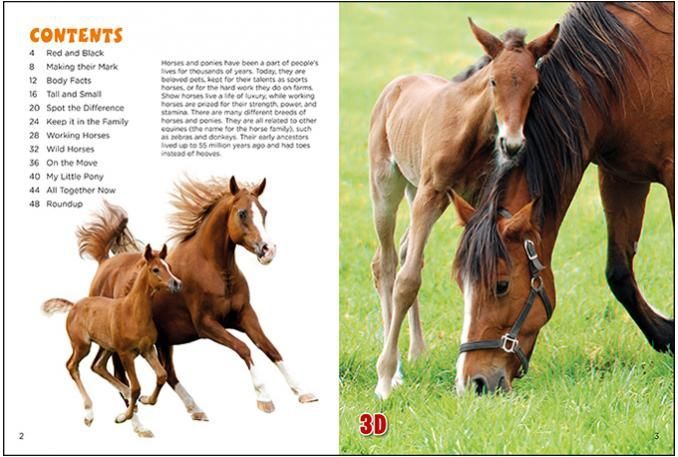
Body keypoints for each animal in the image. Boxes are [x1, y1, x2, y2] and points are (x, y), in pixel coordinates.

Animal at [42, 244, 182, 437]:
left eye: (168, 266)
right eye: (155, 269)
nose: (177, 283)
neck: (133, 312)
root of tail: (74, 306)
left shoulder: (147, 350)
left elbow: (161, 375)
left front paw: (146, 400)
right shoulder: (125, 354)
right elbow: (137, 386)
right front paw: (123, 417)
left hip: (107, 346)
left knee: (98, 366)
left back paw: (127, 396)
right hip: (83, 346)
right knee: (72, 366)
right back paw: (89, 413)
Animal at [72, 176, 317, 420]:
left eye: (264, 212)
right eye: (242, 213)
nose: (268, 250)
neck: (215, 270)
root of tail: (104, 263)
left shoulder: (245, 315)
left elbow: (269, 347)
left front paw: (303, 392)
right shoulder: (206, 324)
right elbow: (244, 348)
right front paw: (264, 398)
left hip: (164, 340)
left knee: (168, 374)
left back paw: (194, 409)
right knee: (119, 375)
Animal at [370, 18, 560, 399]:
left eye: (534, 86)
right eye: (493, 81)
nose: (512, 143)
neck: (469, 128)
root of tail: (395, 85)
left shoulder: (468, 196)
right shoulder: (431, 192)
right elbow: (407, 281)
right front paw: (384, 380)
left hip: (418, 192)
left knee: (406, 251)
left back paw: (417, 351)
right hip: (388, 186)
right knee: (386, 262)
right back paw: (395, 370)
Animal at [451, 2, 674, 395]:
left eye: (501, 285)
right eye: (462, 284)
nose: (473, 382)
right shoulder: (620, 176)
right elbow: (619, 273)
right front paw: (667, 334)